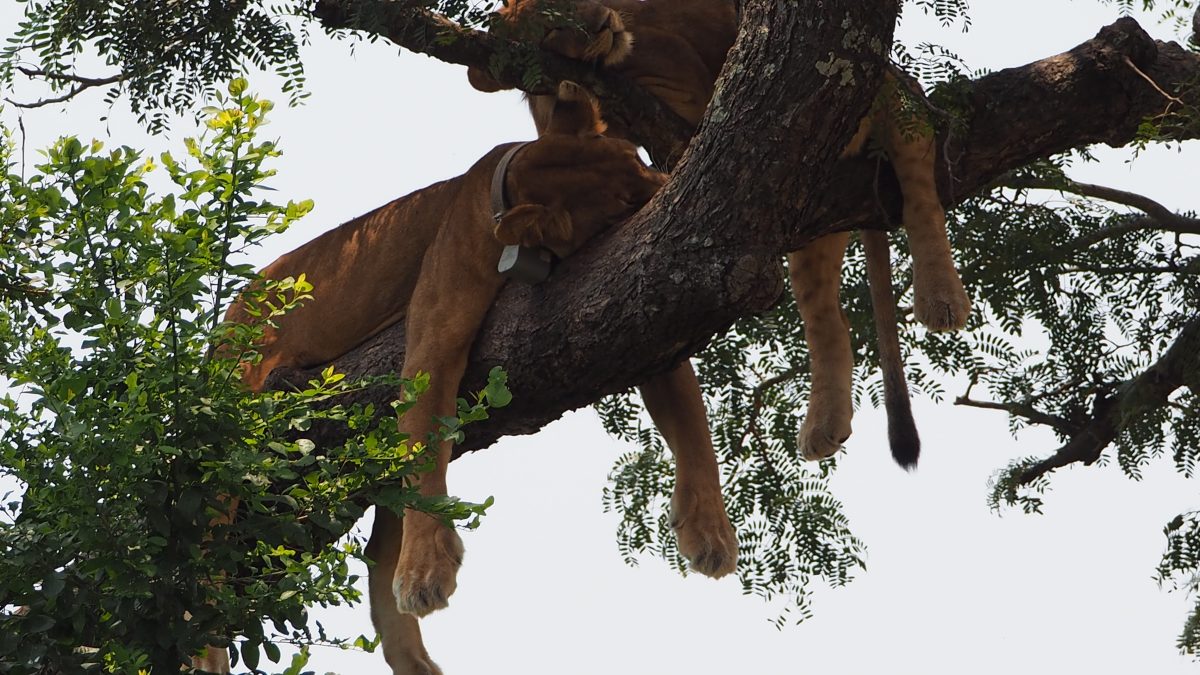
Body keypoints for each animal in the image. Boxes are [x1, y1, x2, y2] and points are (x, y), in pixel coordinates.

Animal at [193, 82, 735, 675]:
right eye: (622, 204)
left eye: (636, 161)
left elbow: (691, 422)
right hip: (234, 420)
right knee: (206, 557)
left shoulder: (648, 321)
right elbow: (424, 457)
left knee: (377, 555)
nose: (670, 184)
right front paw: (428, 569)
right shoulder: (432, 338)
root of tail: (234, 312)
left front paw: (711, 531)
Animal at [468, 0, 973, 468]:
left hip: (879, 95)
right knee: (825, 312)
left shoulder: (688, 97)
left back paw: (940, 297)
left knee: (917, 158)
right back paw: (824, 424)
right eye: (550, 28)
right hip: (810, 186)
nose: (600, 24)